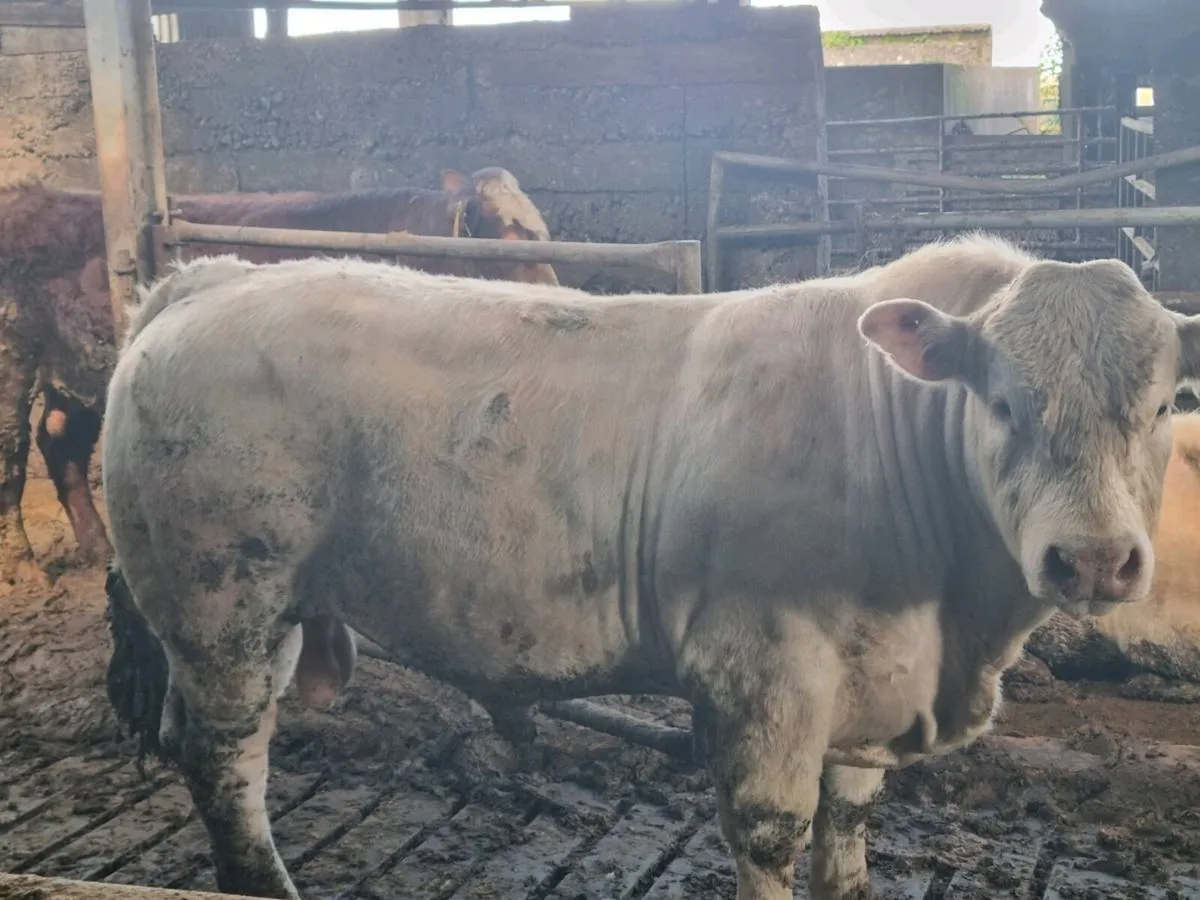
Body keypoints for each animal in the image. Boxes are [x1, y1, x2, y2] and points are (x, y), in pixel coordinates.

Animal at [0, 167, 556, 586]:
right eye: (513, 240)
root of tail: (29, 194)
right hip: (13, 356)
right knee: (14, 450)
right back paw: (24, 568)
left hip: (74, 362)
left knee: (58, 438)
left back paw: (97, 544)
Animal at [102, 234, 1200, 900]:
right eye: (1002, 404)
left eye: (1163, 406)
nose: (1093, 559)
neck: (949, 627)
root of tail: (213, 277)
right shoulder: (762, 675)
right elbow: (773, 833)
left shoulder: (868, 692)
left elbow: (845, 843)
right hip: (222, 605)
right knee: (229, 759)